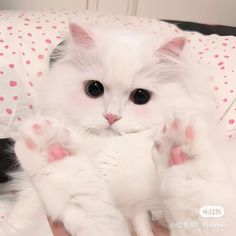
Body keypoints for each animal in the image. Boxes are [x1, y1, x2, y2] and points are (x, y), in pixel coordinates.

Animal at [0, 22, 236, 236]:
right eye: (94, 89)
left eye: (140, 96)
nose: (111, 117)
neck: (114, 150)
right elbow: (85, 203)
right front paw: (51, 148)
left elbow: (198, 204)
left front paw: (181, 150)